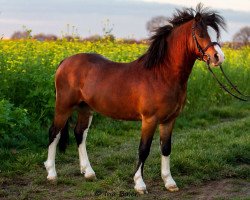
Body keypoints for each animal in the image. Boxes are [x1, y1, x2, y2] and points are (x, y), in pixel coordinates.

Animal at [45, 3, 227, 194]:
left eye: (215, 34)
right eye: (200, 33)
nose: (218, 57)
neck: (161, 75)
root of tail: (65, 61)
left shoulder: (169, 120)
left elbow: (166, 148)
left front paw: (169, 182)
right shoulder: (149, 119)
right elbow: (144, 149)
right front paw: (139, 184)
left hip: (85, 108)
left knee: (79, 133)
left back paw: (88, 173)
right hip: (63, 106)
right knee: (54, 133)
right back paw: (52, 174)